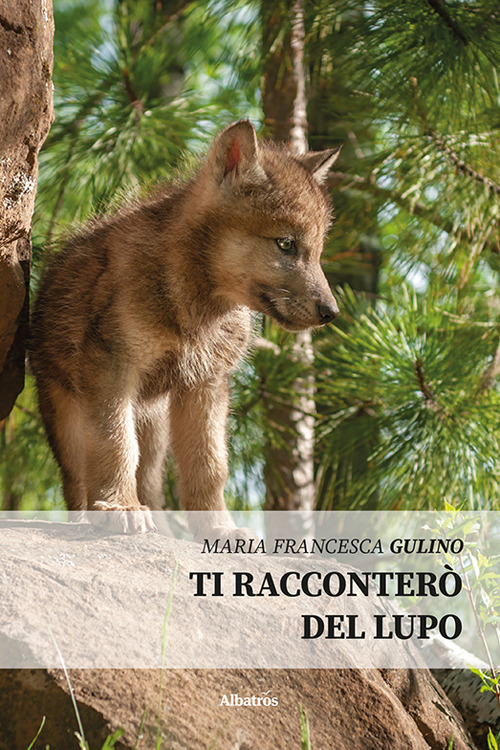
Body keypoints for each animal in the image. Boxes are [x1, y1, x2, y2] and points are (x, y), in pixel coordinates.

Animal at [29, 120, 340, 537]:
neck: (197, 314)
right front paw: (119, 507)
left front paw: (219, 529)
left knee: (150, 480)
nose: (331, 312)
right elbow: (115, 444)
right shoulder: (112, 368)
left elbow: (209, 466)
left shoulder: (206, 382)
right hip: (66, 414)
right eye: (286, 244)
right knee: (77, 480)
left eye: (319, 252)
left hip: (154, 425)